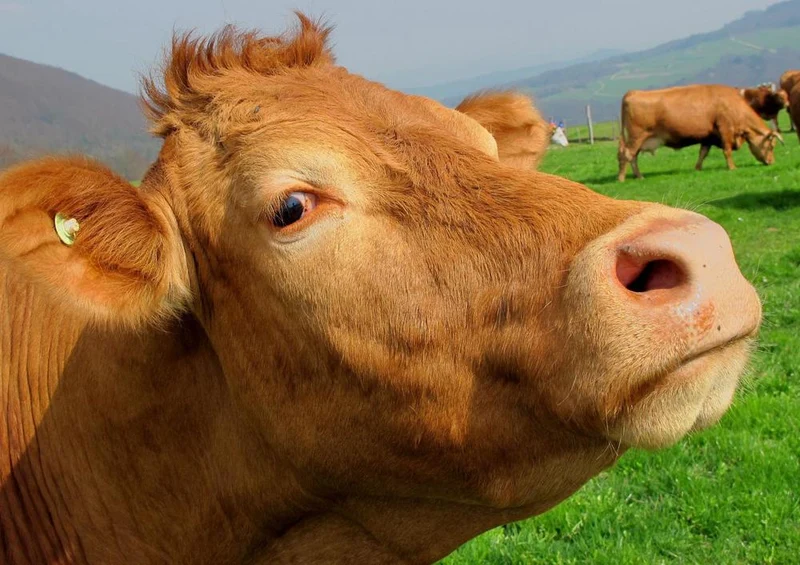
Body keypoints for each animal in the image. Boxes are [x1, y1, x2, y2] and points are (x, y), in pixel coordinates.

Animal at [618, 84, 783, 182]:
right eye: (771, 145)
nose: (772, 162)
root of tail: (632, 93)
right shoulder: (725, 129)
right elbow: (727, 151)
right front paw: (732, 167)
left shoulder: (708, 137)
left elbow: (703, 153)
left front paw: (697, 168)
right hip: (637, 137)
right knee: (627, 155)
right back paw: (624, 178)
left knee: (632, 156)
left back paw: (637, 176)